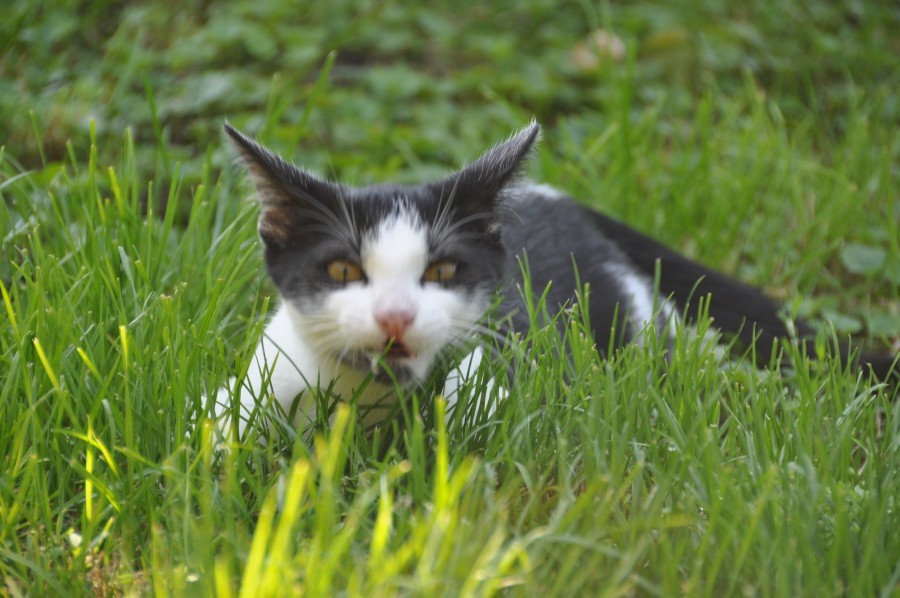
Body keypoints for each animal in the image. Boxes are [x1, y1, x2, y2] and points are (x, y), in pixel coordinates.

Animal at [214, 123, 896, 440]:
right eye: (342, 270)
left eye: (442, 271)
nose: (395, 316)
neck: (373, 394)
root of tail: (565, 201)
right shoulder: (271, 370)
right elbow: (217, 428)